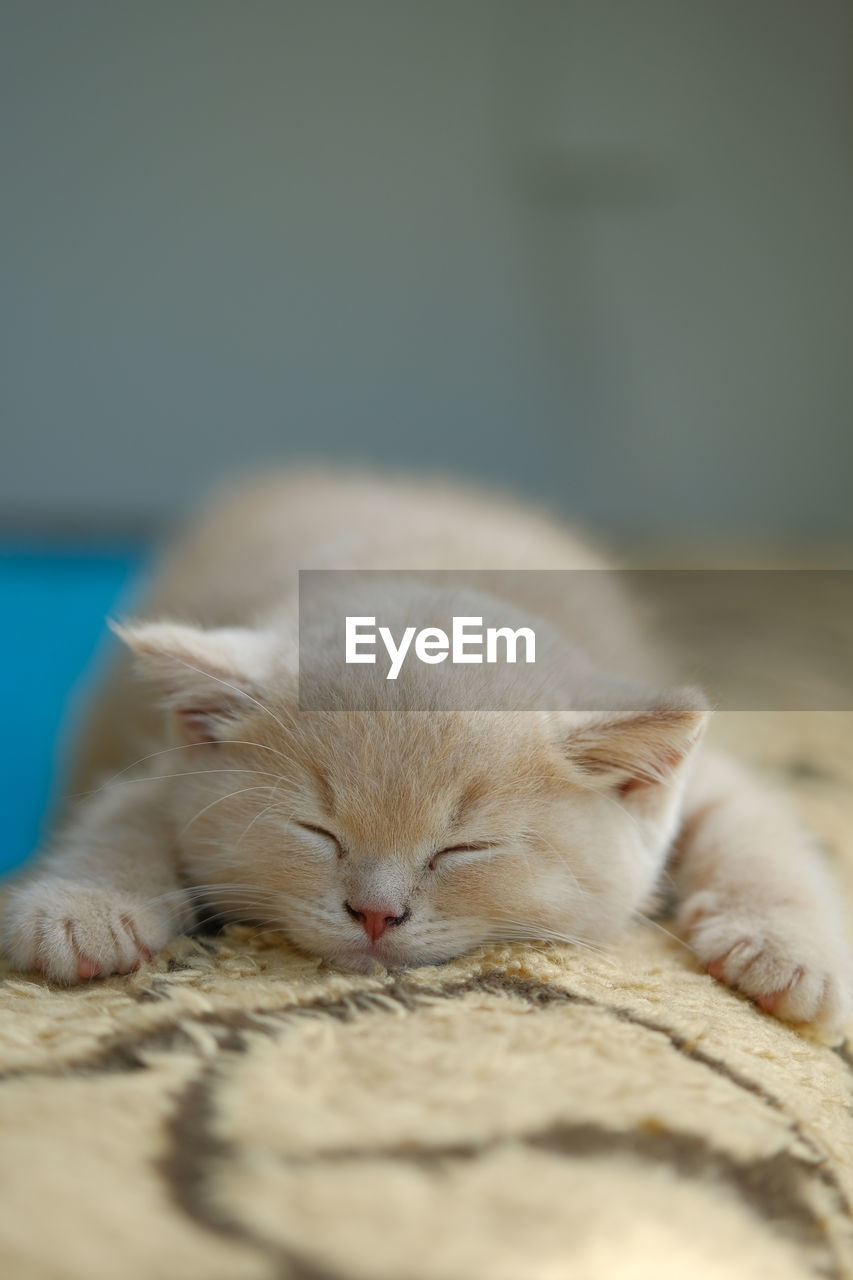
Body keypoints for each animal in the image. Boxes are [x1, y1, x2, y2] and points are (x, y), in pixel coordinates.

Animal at [3, 473, 845, 1039]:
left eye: (462, 848)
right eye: (318, 832)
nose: (375, 915)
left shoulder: (707, 775)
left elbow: (756, 828)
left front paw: (788, 953)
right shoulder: (164, 766)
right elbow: (124, 811)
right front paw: (79, 910)